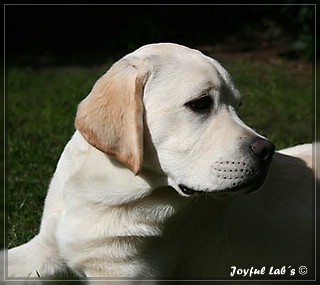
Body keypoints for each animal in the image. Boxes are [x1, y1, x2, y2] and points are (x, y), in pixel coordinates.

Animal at [1, 42, 314, 280]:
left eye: (238, 106)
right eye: (201, 103)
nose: (267, 150)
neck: (105, 191)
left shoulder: (124, 275)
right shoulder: (43, 249)